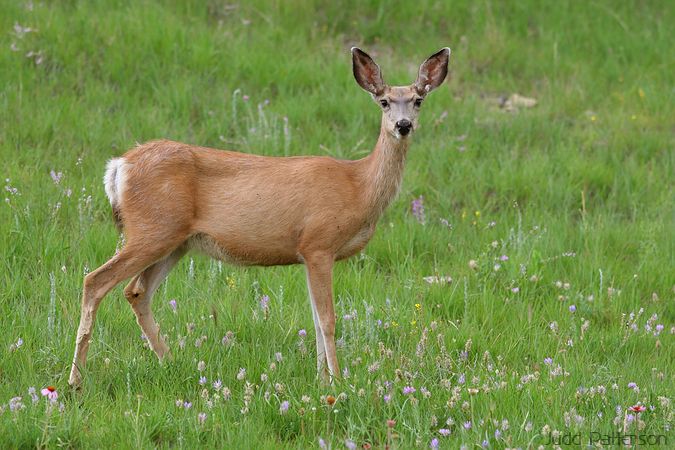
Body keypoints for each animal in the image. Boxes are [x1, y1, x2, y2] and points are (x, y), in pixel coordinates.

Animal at [68, 47, 452, 388]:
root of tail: (119, 166)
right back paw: (76, 379)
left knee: (136, 292)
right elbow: (328, 319)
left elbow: (314, 320)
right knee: (96, 281)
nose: (403, 125)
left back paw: (173, 362)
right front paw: (339, 381)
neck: (358, 185)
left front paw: (321, 380)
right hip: (152, 229)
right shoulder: (319, 243)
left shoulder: (306, 254)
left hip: (176, 240)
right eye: (384, 101)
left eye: (418, 100)